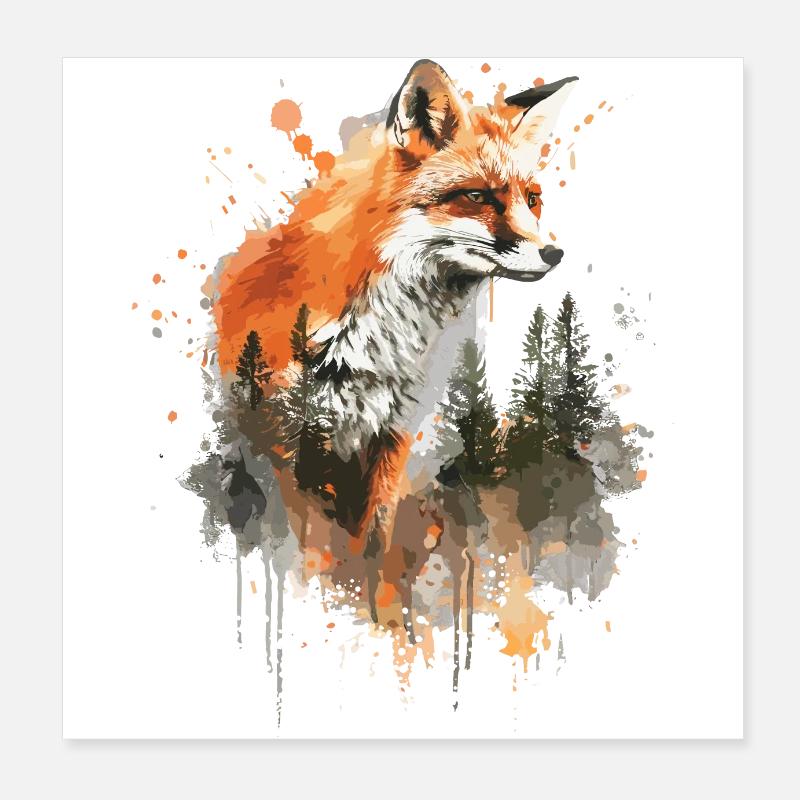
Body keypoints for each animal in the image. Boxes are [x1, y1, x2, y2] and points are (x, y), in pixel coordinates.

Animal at [214, 60, 577, 613]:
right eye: (477, 197)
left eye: (532, 199)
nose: (554, 254)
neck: (377, 345)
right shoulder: (286, 444)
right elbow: (307, 556)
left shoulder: (391, 437)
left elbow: (373, 552)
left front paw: (377, 620)